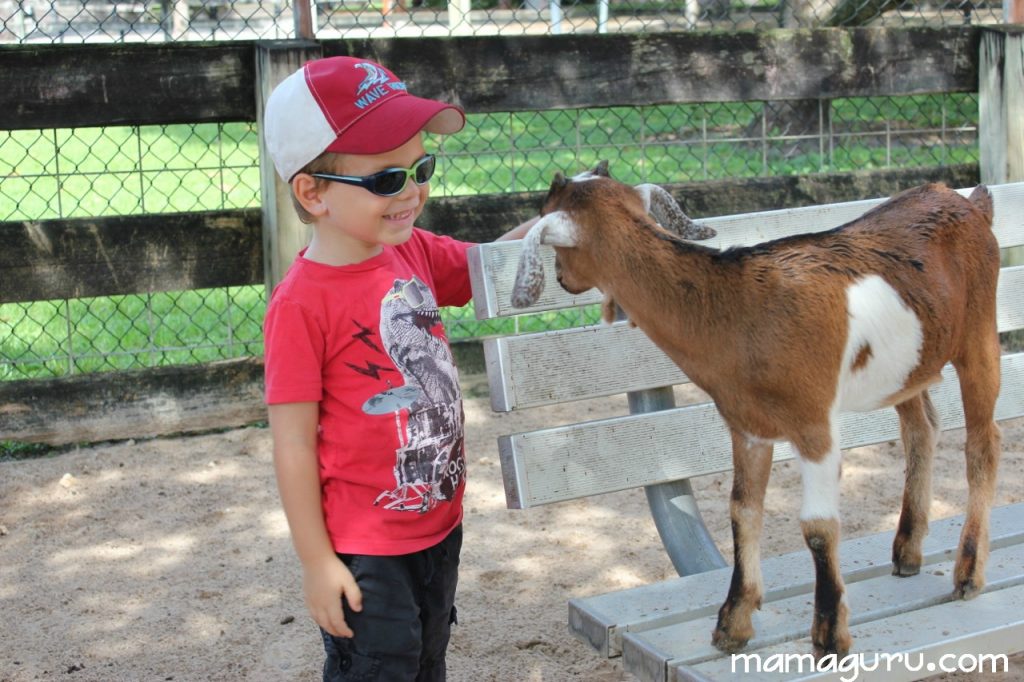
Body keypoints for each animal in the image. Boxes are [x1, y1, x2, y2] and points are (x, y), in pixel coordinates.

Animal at [512, 161, 999, 655]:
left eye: (545, 218)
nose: (561, 279)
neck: (738, 307)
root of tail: (969, 203)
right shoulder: (747, 427)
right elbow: (742, 512)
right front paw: (733, 622)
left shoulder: (813, 424)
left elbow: (818, 526)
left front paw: (829, 635)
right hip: (907, 367)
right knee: (922, 429)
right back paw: (907, 552)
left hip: (979, 334)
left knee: (983, 446)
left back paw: (967, 574)